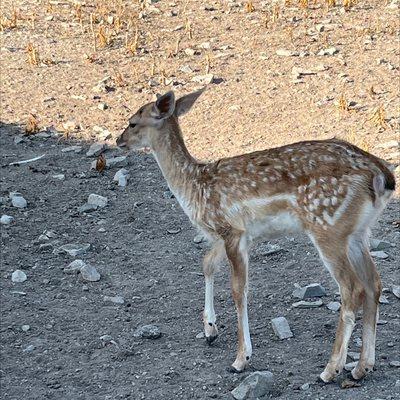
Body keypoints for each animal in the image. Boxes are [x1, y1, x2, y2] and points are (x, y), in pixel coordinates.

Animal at [117, 90, 396, 382]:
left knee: (352, 289)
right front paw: (210, 329)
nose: (118, 140)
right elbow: (206, 264)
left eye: (133, 122)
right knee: (374, 283)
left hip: (328, 226)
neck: (194, 188)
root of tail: (382, 176)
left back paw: (331, 369)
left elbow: (238, 290)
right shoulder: (234, 235)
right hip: (358, 231)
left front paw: (241, 359)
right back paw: (362, 367)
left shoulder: (232, 231)